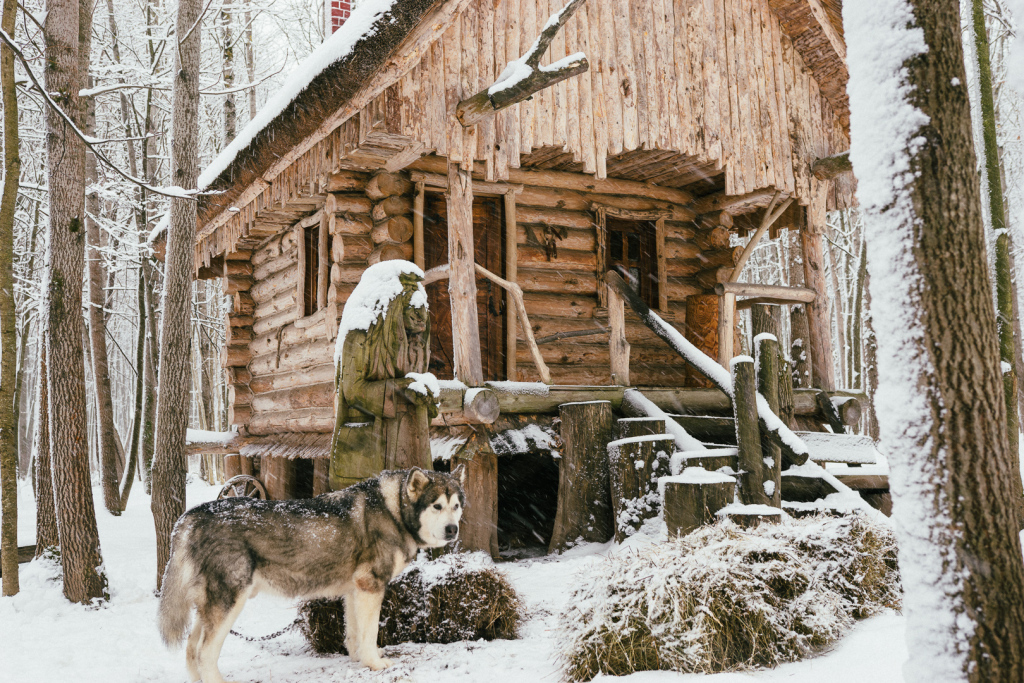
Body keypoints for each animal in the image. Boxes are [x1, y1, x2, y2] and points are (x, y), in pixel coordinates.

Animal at [157, 466, 466, 679]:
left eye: (456, 506)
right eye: (437, 506)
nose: (453, 530)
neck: (394, 512)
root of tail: (191, 515)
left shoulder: (355, 590)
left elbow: (354, 635)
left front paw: (359, 660)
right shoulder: (371, 587)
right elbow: (370, 635)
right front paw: (376, 663)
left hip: (211, 607)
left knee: (191, 649)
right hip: (230, 603)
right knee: (203, 653)